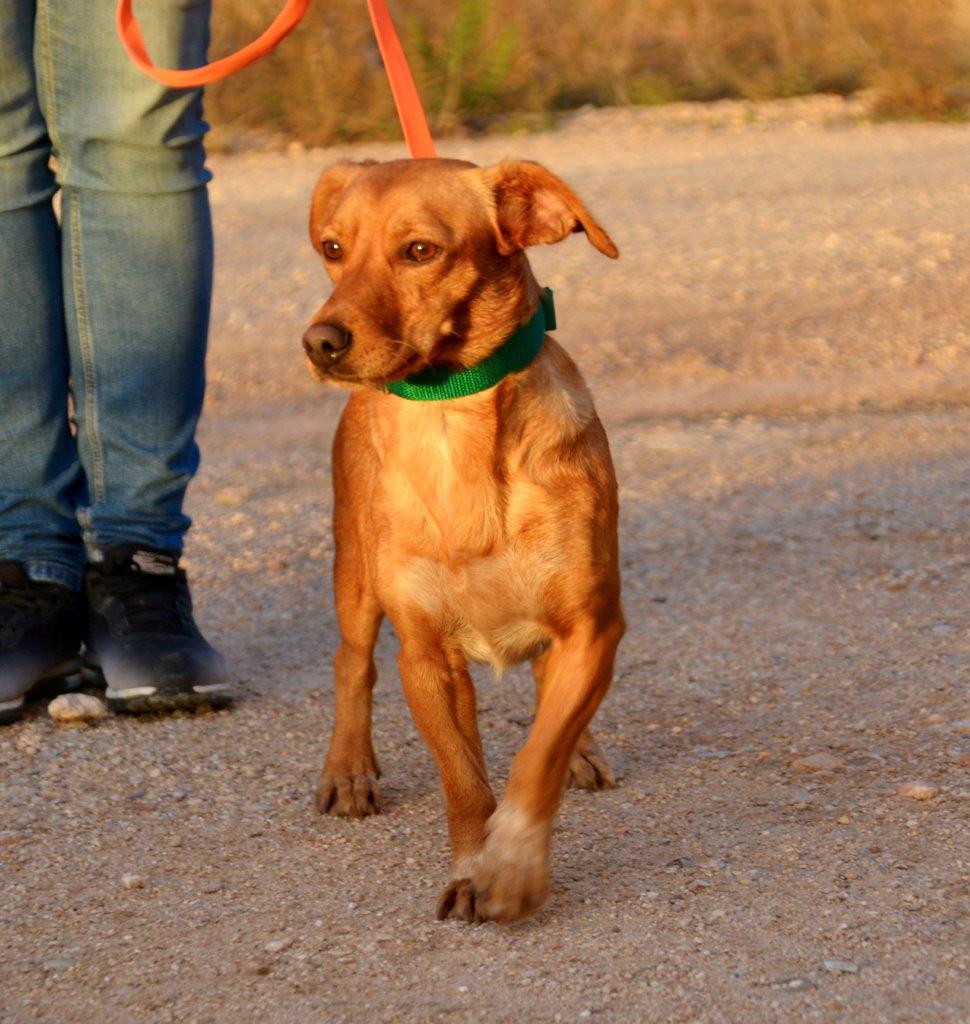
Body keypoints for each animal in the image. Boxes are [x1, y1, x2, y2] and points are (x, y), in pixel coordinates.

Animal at [301, 157, 622, 921]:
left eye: (420, 250)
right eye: (332, 248)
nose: (320, 342)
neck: (455, 425)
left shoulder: (594, 626)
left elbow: (537, 757)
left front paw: (512, 864)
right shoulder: (427, 657)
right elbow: (465, 783)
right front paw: (475, 865)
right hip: (355, 577)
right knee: (350, 662)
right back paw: (348, 769)